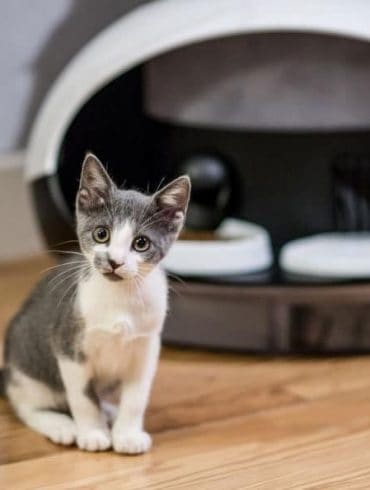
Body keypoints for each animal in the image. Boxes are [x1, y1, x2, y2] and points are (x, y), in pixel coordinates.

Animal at [0, 154, 191, 456]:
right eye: (102, 234)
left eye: (141, 243)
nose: (114, 261)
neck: (120, 298)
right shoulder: (68, 346)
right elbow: (82, 397)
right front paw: (92, 433)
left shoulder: (147, 347)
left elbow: (136, 397)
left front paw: (127, 434)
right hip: (26, 368)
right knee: (27, 405)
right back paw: (61, 425)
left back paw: (109, 412)